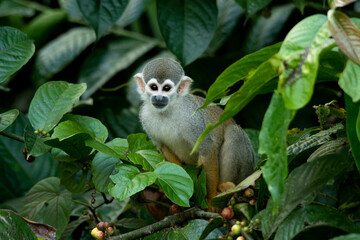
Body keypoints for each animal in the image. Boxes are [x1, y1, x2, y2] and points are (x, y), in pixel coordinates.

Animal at [136, 57, 256, 211]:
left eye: (167, 88)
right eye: (154, 87)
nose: (159, 98)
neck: (167, 110)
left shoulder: (192, 116)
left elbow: (206, 147)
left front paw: (211, 199)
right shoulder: (145, 117)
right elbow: (163, 147)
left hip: (247, 168)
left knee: (234, 133)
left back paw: (226, 187)